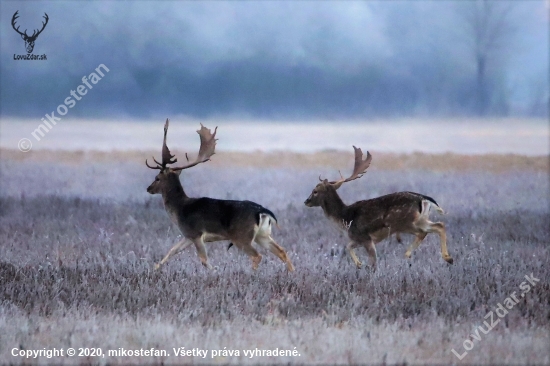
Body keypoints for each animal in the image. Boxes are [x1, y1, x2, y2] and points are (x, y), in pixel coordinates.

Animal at [146, 118, 294, 270]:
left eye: (157, 178)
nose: (148, 188)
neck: (179, 210)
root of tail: (262, 211)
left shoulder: (196, 233)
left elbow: (204, 259)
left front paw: (214, 272)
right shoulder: (188, 235)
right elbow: (172, 250)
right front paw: (154, 268)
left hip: (241, 236)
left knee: (257, 256)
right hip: (262, 235)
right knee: (282, 251)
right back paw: (291, 273)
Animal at [304, 147, 454, 270]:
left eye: (315, 191)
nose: (306, 201)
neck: (345, 218)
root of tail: (423, 198)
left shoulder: (364, 236)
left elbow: (370, 259)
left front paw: (365, 267)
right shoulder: (360, 238)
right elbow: (348, 246)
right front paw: (359, 264)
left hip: (406, 222)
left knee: (428, 230)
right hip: (420, 219)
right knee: (437, 226)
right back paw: (440, 257)